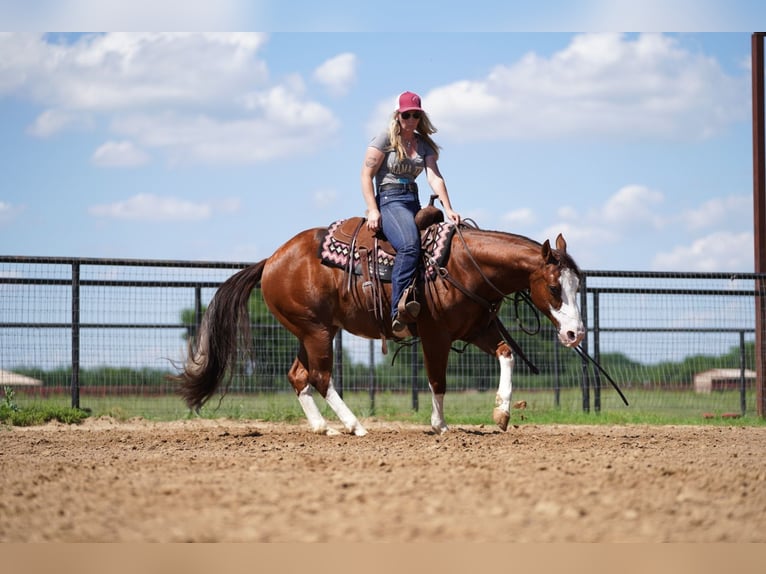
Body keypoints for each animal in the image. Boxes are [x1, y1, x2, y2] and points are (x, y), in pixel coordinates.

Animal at [171, 213, 584, 436]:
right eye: (553, 287)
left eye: (578, 285)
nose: (575, 333)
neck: (462, 264)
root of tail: (271, 260)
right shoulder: (436, 335)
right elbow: (438, 380)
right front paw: (440, 424)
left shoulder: (476, 329)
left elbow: (506, 353)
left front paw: (501, 413)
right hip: (317, 331)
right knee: (321, 376)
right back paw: (354, 425)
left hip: (311, 330)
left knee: (298, 375)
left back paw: (323, 427)